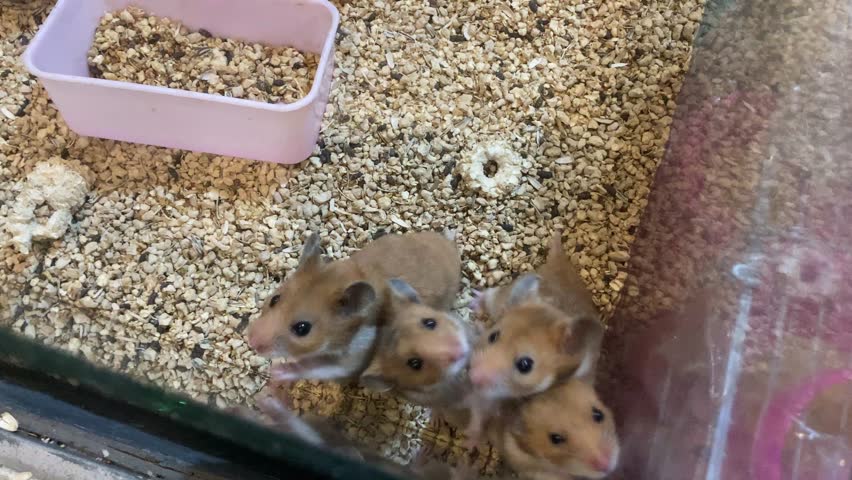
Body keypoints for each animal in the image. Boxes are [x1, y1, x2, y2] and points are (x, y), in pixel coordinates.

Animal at [246, 231, 460, 382]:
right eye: (274, 299)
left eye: (302, 328)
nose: (252, 341)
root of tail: (452, 249)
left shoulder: (354, 356)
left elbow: (316, 368)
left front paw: (277, 373)